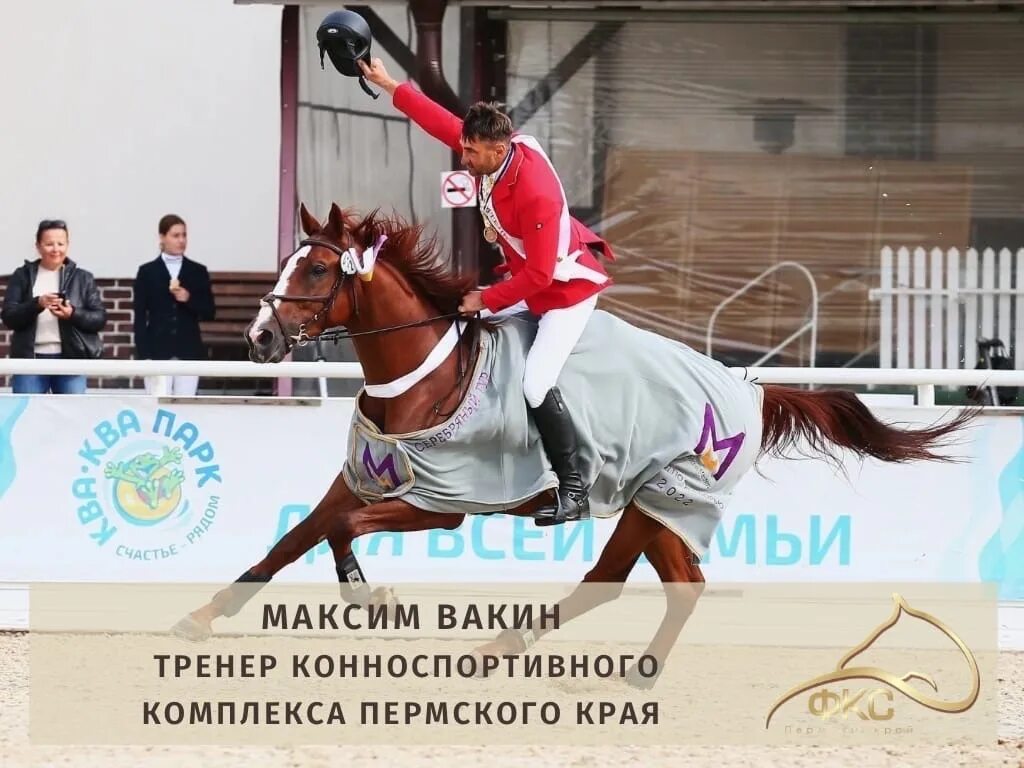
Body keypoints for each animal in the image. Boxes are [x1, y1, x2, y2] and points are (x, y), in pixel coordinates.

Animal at [172, 201, 978, 688]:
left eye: (314, 268)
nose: (258, 339)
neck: (420, 375)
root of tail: (746, 390)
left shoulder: (441, 503)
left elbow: (339, 530)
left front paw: (370, 593)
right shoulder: (366, 478)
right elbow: (292, 540)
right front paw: (203, 618)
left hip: (663, 500)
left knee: (629, 582)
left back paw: (519, 655)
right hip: (661, 510)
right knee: (656, 584)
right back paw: (583, 662)